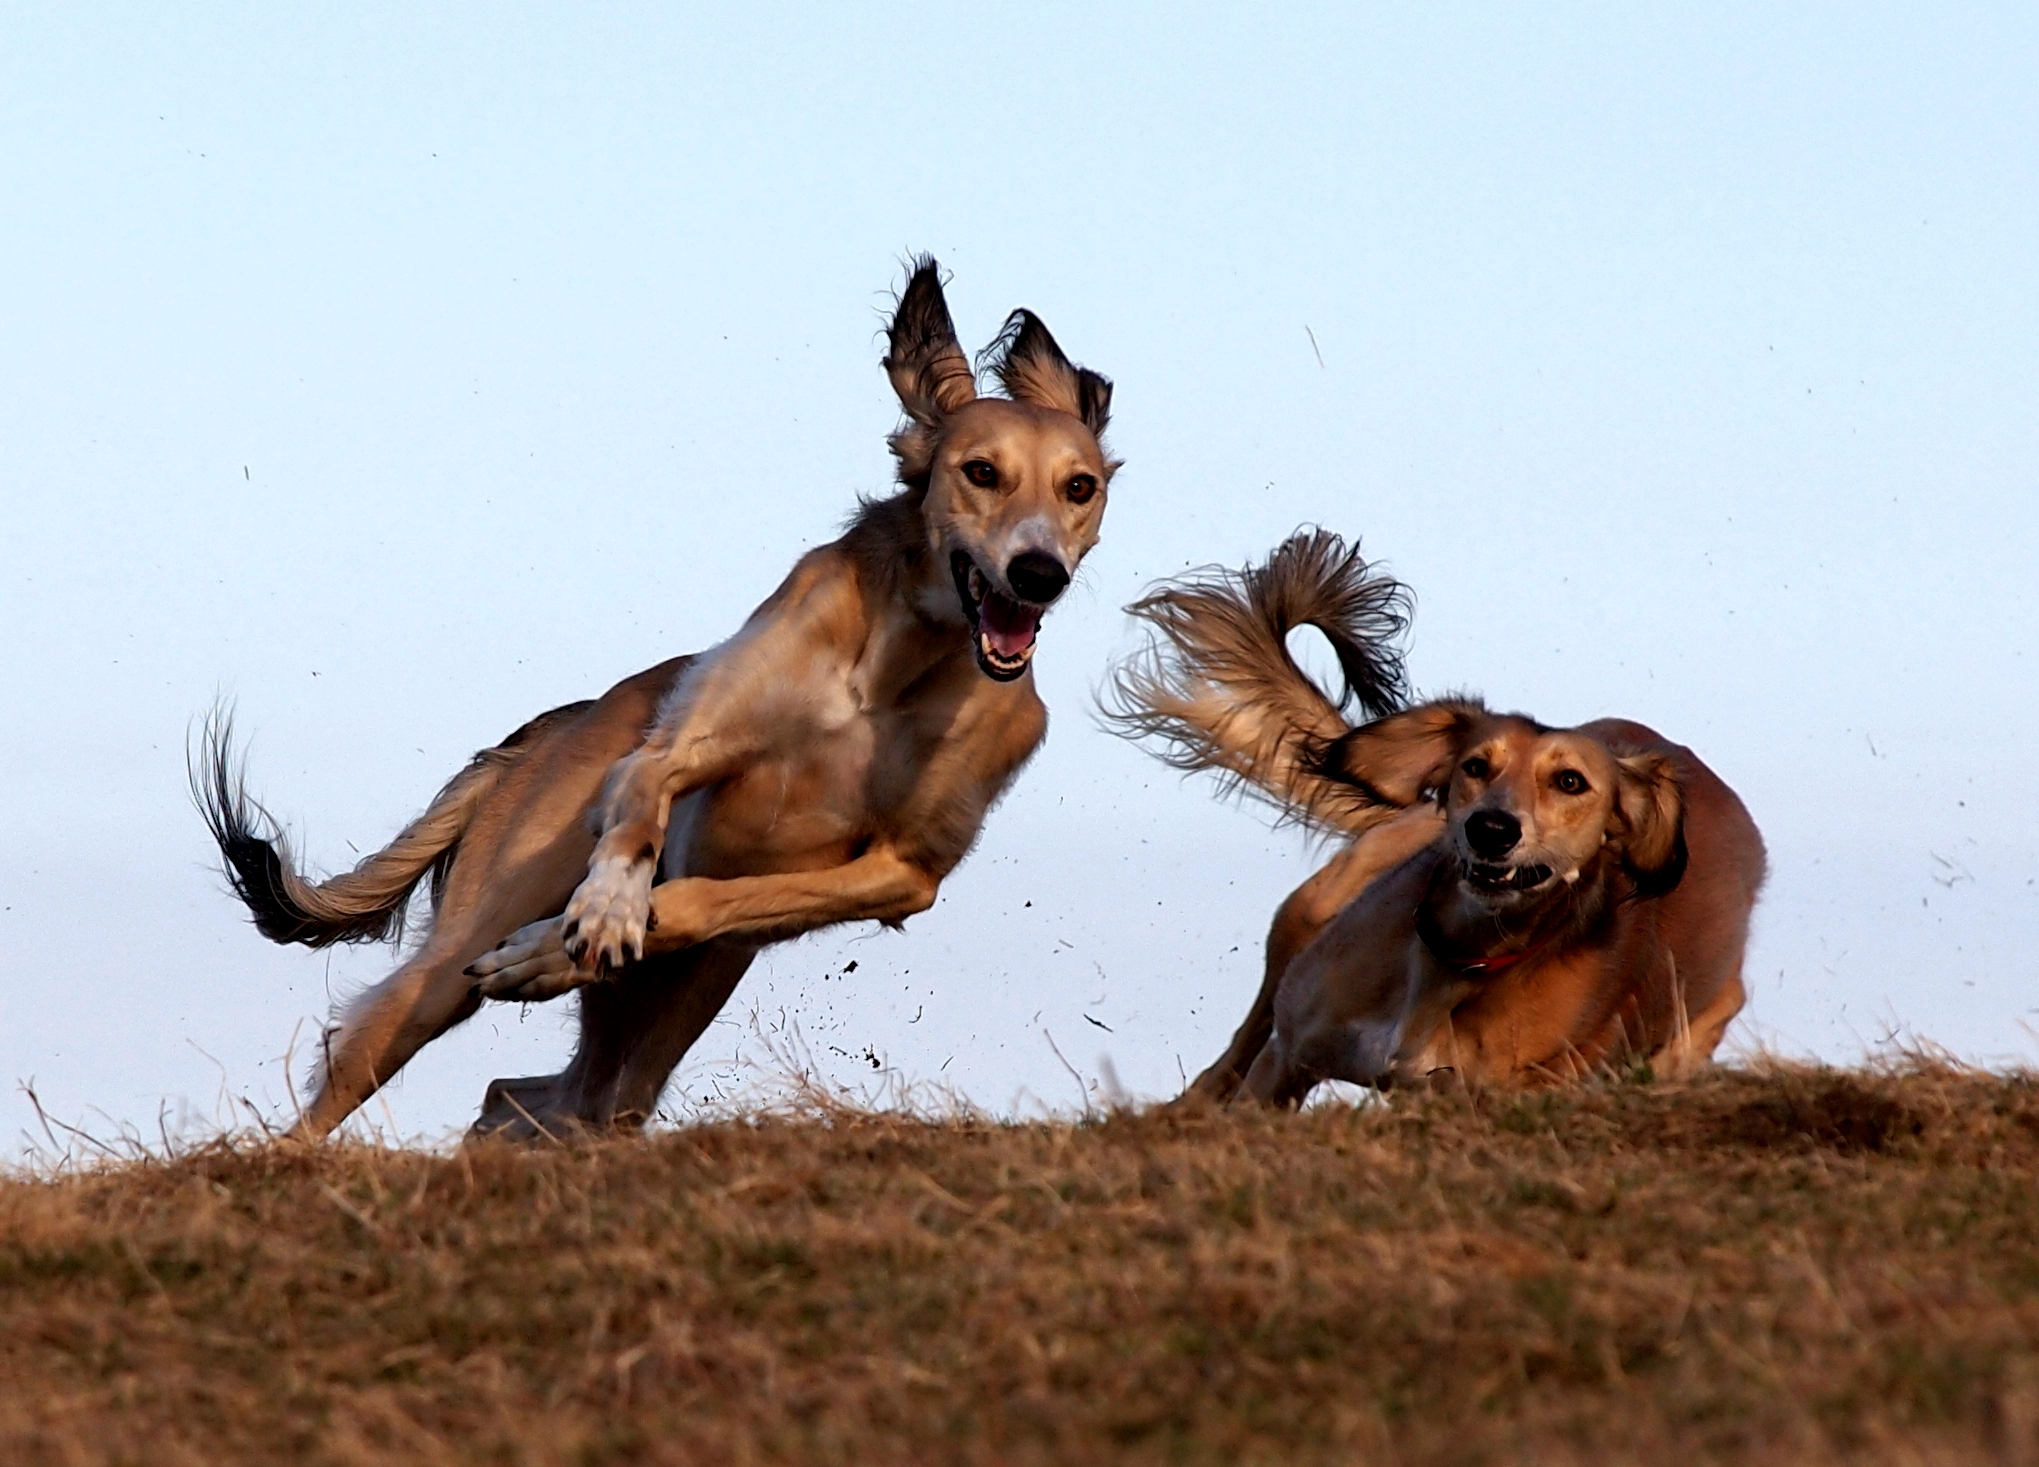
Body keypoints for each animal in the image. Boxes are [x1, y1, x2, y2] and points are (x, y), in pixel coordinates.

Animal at [200, 258, 1125, 1142]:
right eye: (980, 472)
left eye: (1078, 487)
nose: (1037, 573)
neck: (900, 661)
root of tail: (549, 726)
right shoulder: (672, 748)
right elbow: (643, 805)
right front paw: (608, 906)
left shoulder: (902, 871)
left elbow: (707, 898)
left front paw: (578, 940)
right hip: (451, 962)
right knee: (355, 1078)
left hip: (673, 1003)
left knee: (548, 1097)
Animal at [1109, 534, 1761, 1109]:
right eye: (1476, 765)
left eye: (1571, 782)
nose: (1492, 830)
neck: (1454, 961)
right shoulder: (1291, 1055)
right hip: (1310, 914)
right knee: (1244, 1037)